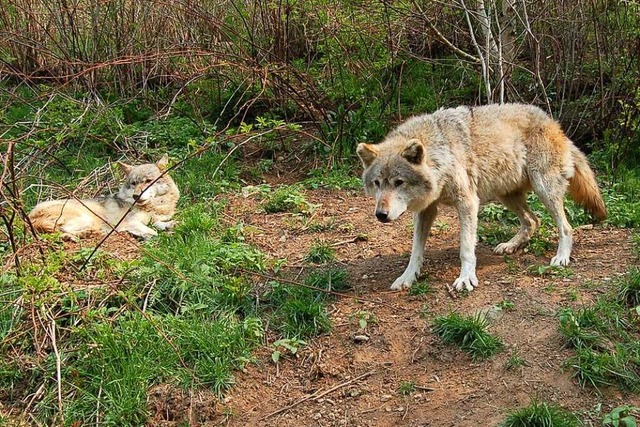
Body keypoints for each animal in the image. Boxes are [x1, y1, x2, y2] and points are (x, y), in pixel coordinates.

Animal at [29, 155, 180, 242]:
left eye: (148, 181)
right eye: (134, 183)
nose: (136, 196)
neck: (155, 206)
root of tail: (29, 217)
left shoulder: (155, 218)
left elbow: (159, 224)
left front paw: (170, 225)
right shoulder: (130, 222)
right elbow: (153, 232)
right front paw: (149, 235)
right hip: (86, 218)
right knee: (63, 232)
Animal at [358, 103, 608, 292]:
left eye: (399, 182)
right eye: (377, 183)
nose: (380, 214)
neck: (440, 153)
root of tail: (554, 124)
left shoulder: (468, 203)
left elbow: (466, 248)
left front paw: (466, 278)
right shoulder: (426, 210)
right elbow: (415, 251)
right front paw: (407, 277)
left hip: (543, 189)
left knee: (565, 226)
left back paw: (561, 257)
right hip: (506, 195)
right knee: (532, 220)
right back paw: (510, 246)